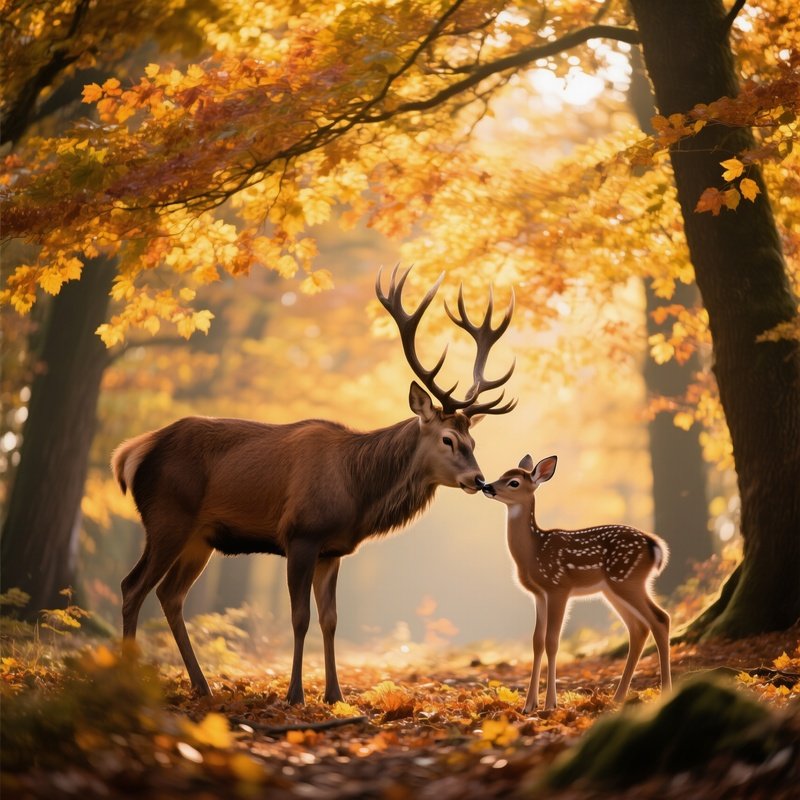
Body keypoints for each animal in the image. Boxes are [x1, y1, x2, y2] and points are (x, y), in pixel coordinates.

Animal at [112, 267, 517, 704]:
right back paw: (129, 680)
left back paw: (202, 686)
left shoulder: (332, 550)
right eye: (448, 439)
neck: (356, 491)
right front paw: (295, 693)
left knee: (170, 595)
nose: (478, 479)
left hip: (199, 537)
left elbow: (330, 619)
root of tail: (132, 452)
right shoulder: (301, 534)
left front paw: (335, 694)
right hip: (166, 517)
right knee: (132, 586)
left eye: (473, 441)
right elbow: (300, 617)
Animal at [482, 455, 671, 712]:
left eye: (513, 482)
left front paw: (550, 704)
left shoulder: (558, 586)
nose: (486, 486)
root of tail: (654, 545)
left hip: (627, 579)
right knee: (638, 628)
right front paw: (529, 705)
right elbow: (537, 641)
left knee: (661, 619)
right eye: (502, 474)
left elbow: (552, 641)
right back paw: (618, 697)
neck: (533, 553)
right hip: (613, 589)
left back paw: (665, 692)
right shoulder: (538, 594)